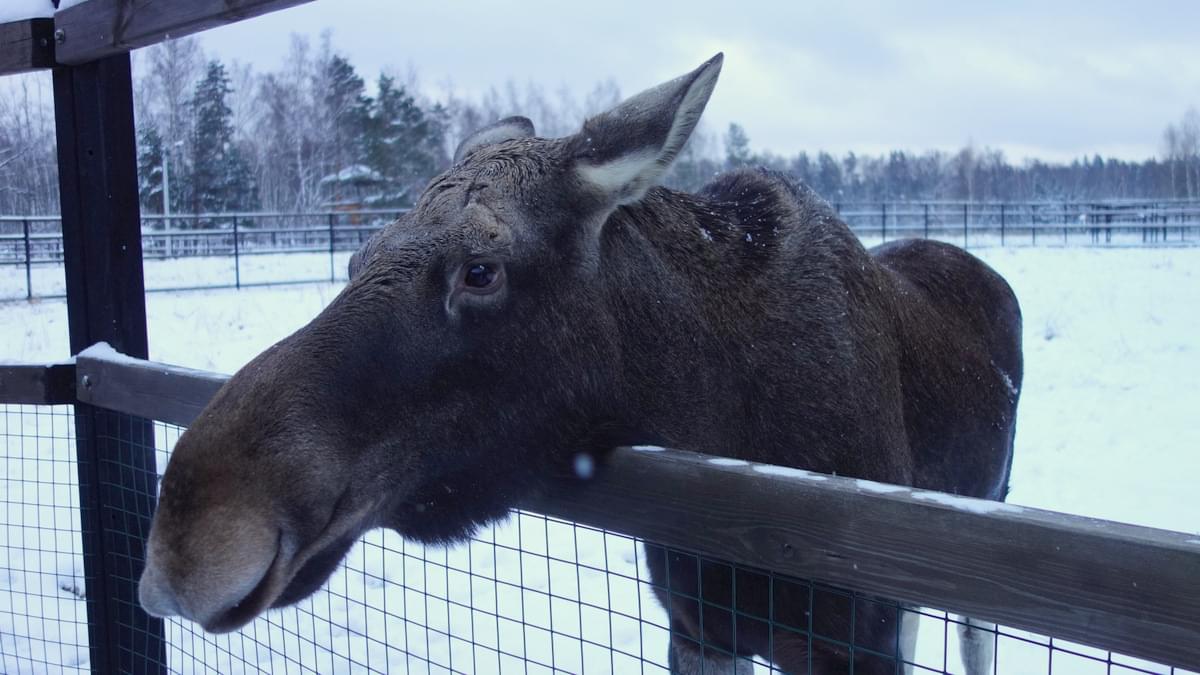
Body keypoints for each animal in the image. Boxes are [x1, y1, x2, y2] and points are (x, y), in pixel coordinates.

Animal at [140, 55, 1022, 667]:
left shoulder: (849, 638)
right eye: (356, 258)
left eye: (481, 270)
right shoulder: (698, 628)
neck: (720, 410)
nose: (188, 541)